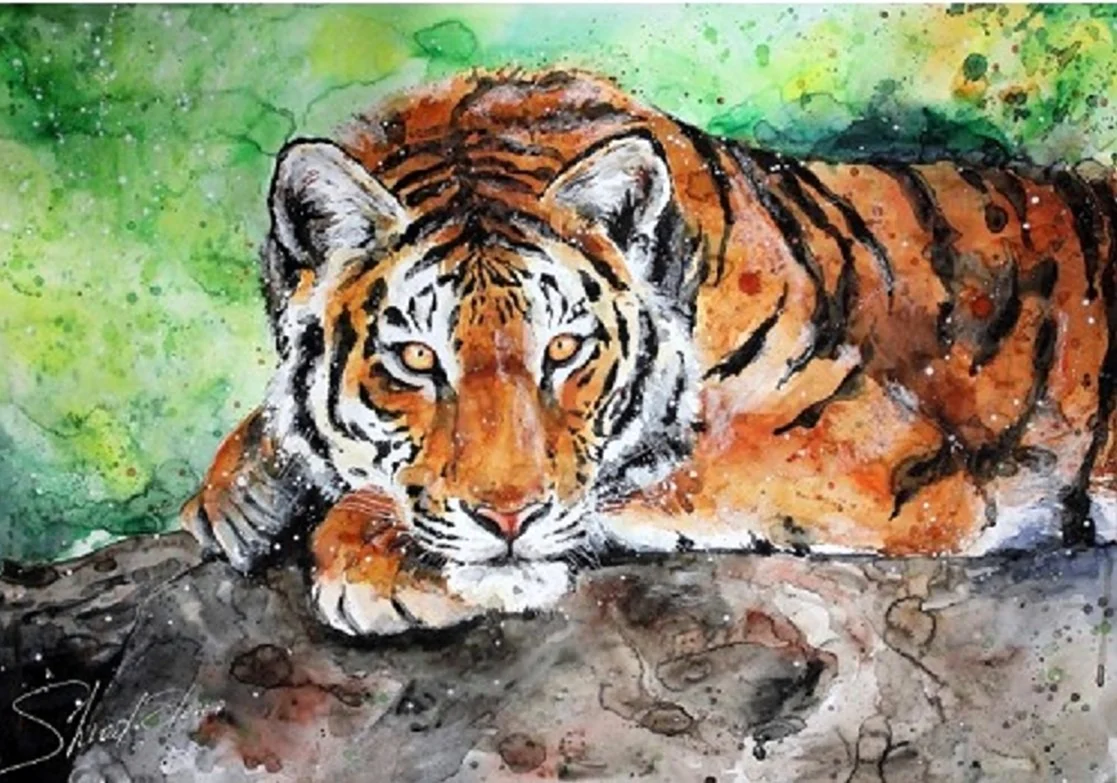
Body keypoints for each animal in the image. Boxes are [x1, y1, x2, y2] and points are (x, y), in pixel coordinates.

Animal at [181, 67, 1117, 637]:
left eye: (564, 349)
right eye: (416, 360)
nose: (508, 521)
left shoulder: (872, 462)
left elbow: (642, 482)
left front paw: (371, 549)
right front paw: (238, 492)